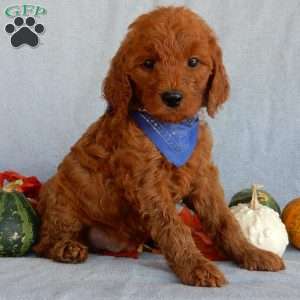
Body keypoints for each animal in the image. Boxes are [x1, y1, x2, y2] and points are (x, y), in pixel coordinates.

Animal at [32, 6, 284, 286]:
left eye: (193, 62)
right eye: (148, 64)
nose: (172, 97)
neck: (172, 128)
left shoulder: (202, 177)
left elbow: (224, 220)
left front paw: (252, 253)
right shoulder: (148, 183)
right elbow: (174, 227)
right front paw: (196, 266)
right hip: (60, 199)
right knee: (44, 243)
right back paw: (66, 247)